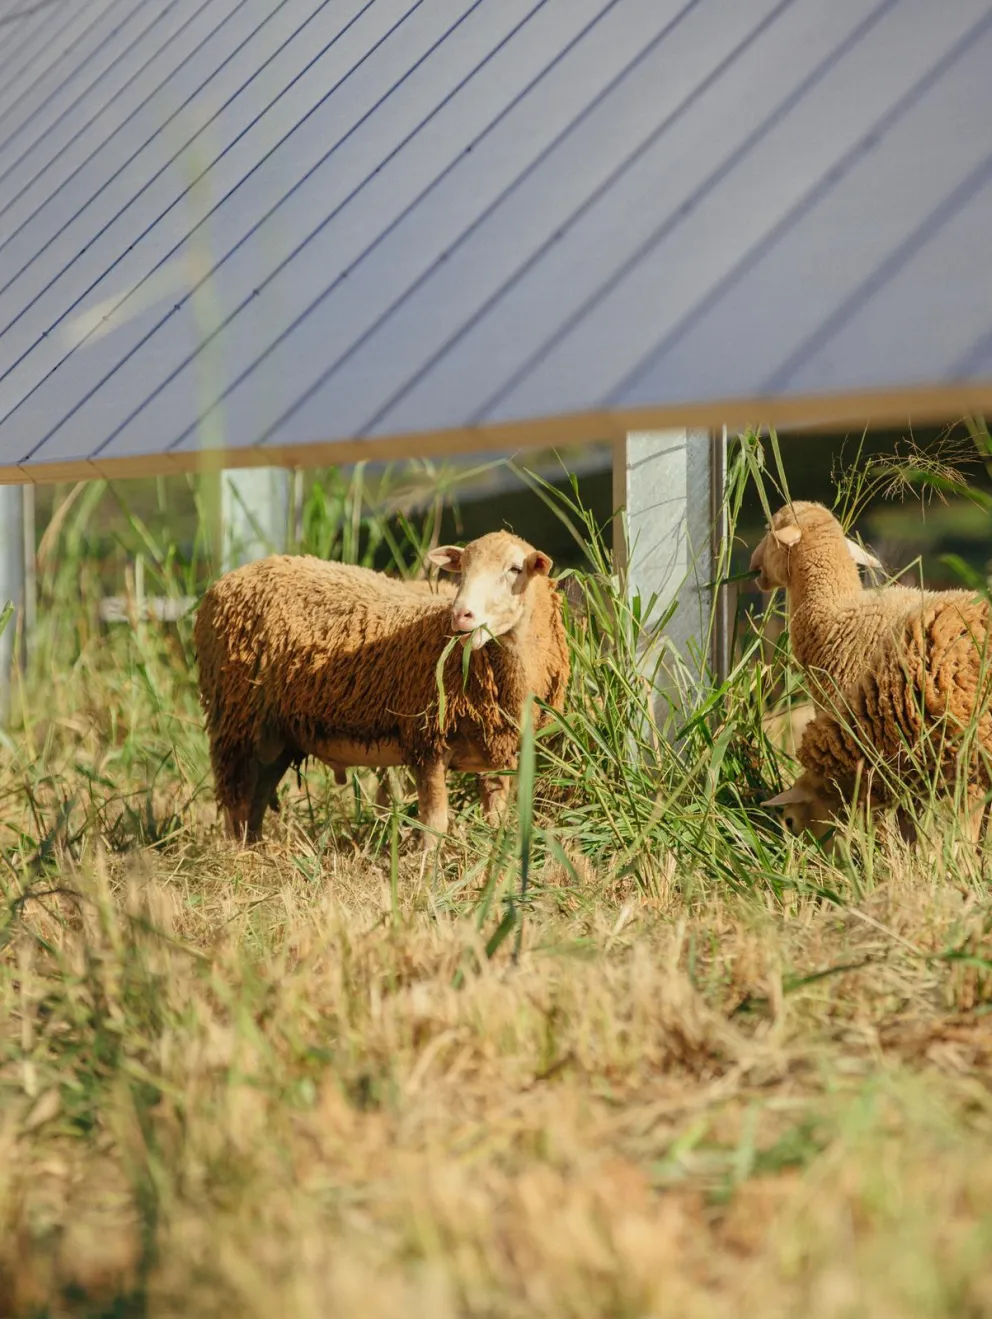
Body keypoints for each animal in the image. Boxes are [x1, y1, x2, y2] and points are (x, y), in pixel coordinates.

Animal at [193, 532, 569, 845]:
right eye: (462, 569)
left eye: (515, 569)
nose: (461, 615)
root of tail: (225, 581)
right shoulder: (427, 740)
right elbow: (435, 823)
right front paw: (426, 872)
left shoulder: (497, 751)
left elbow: (495, 817)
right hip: (236, 719)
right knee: (236, 800)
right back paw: (238, 856)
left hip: (277, 735)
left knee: (256, 798)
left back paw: (256, 850)